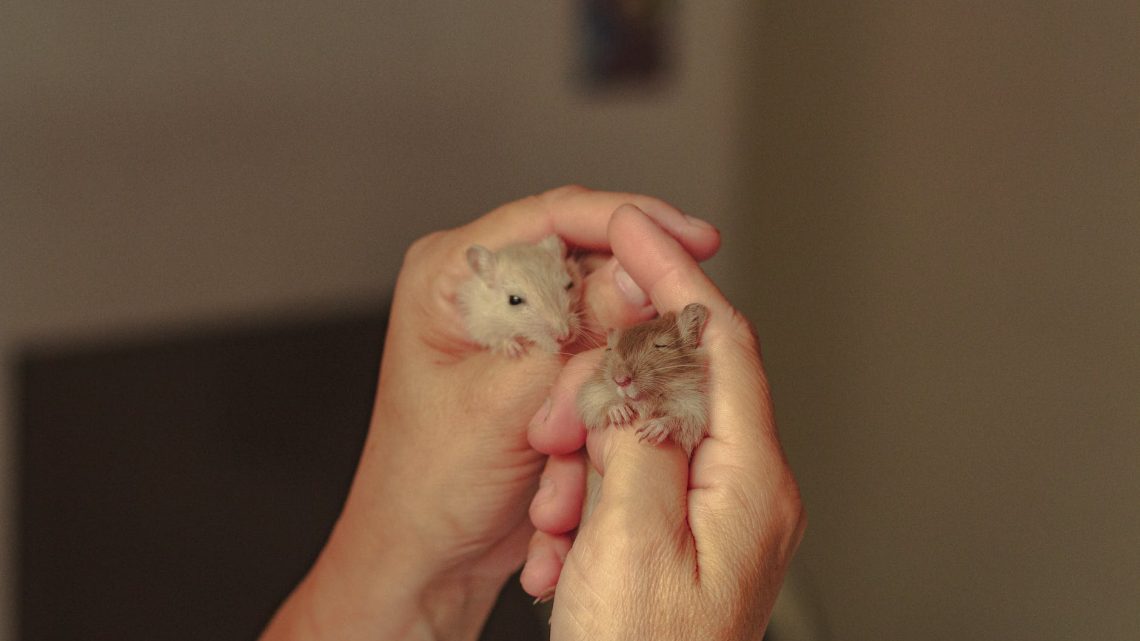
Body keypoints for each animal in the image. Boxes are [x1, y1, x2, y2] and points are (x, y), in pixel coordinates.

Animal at [576, 303, 710, 455]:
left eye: (661, 345)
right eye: (610, 349)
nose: (621, 380)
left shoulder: (694, 410)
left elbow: (679, 420)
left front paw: (650, 431)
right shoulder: (592, 395)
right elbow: (600, 403)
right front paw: (621, 413)